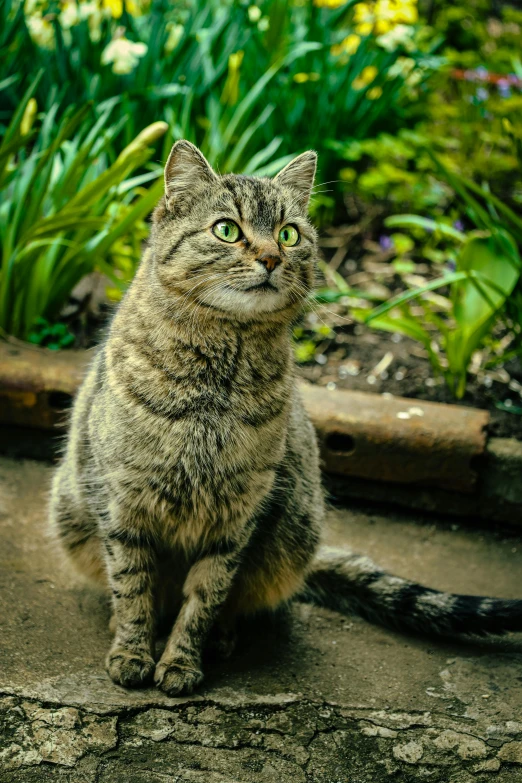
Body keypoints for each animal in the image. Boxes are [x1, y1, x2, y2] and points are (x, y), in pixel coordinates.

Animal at [48, 138, 520, 696]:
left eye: (289, 234)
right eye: (227, 229)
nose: (272, 257)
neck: (214, 389)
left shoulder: (237, 516)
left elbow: (204, 597)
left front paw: (182, 662)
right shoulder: (123, 503)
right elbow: (133, 588)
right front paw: (131, 652)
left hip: (294, 531)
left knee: (236, 601)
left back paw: (223, 638)